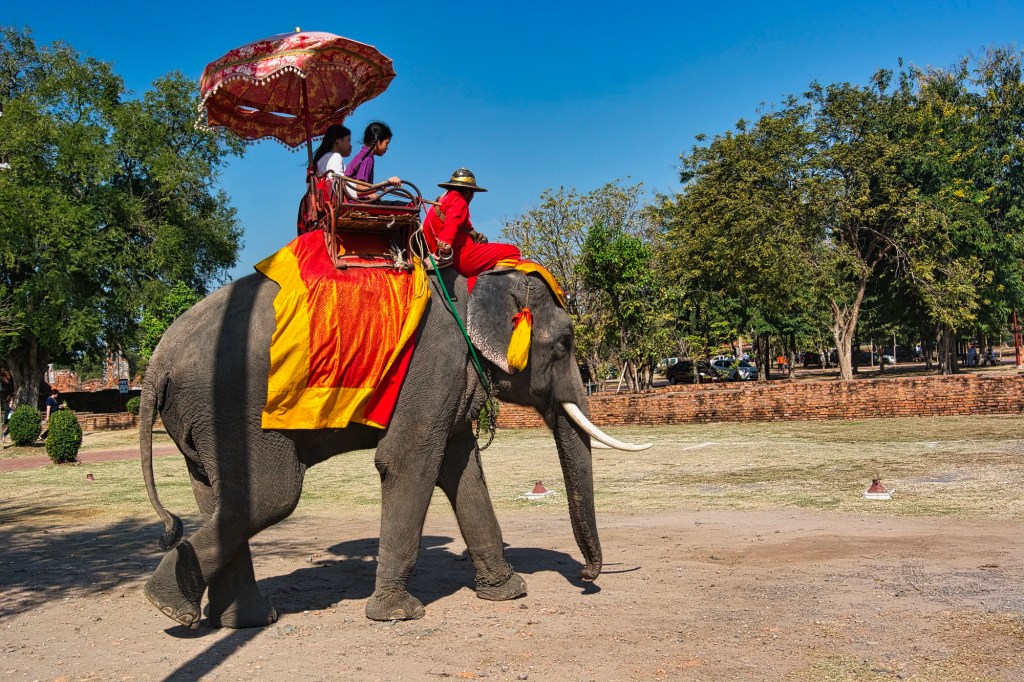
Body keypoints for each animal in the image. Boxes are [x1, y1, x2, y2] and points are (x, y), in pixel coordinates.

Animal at [140, 263, 649, 629]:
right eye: (564, 343)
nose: (586, 576)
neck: (473, 283)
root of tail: (156, 362)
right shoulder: (433, 364)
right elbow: (409, 461)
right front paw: (398, 615)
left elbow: (462, 469)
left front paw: (509, 592)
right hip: (235, 408)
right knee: (271, 497)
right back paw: (167, 605)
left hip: (201, 420)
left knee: (215, 497)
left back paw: (237, 620)